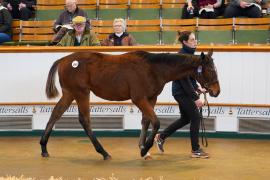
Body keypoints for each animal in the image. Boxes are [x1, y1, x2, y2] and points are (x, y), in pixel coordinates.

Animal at [40, 49, 221, 160]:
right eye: (211, 70)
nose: (216, 91)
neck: (153, 68)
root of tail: (64, 60)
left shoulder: (151, 98)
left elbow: (146, 121)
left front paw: (143, 148)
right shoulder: (139, 99)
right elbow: (156, 122)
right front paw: (144, 149)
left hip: (69, 94)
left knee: (55, 114)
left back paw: (44, 148)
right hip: (81, 93)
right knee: (84, 120)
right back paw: (103, 152)